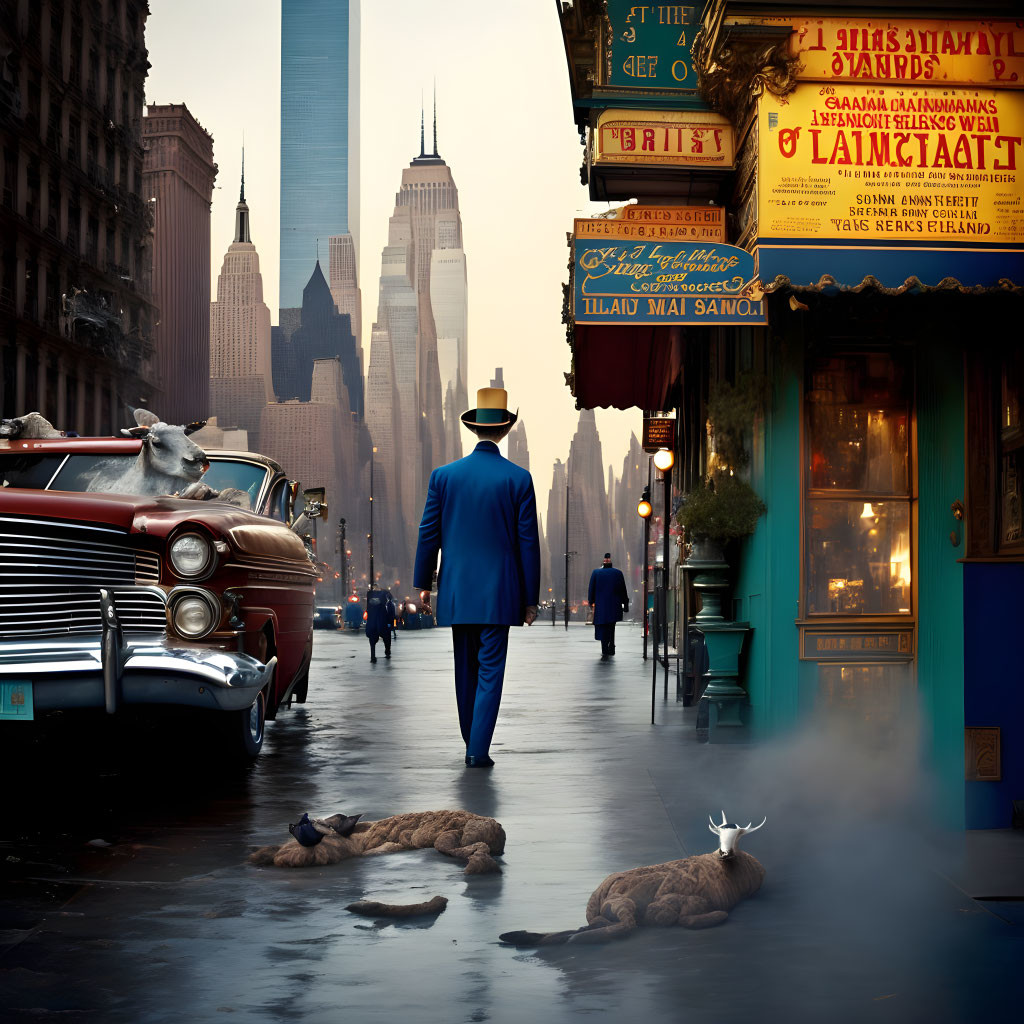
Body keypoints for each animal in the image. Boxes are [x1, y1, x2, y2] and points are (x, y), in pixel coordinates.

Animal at [499, 811, 765, 946]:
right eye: (719, 835)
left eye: (738, 836)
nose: (725, 852)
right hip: (621, 903)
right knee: (622, 925)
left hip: (613, 905)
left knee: (605, 924)